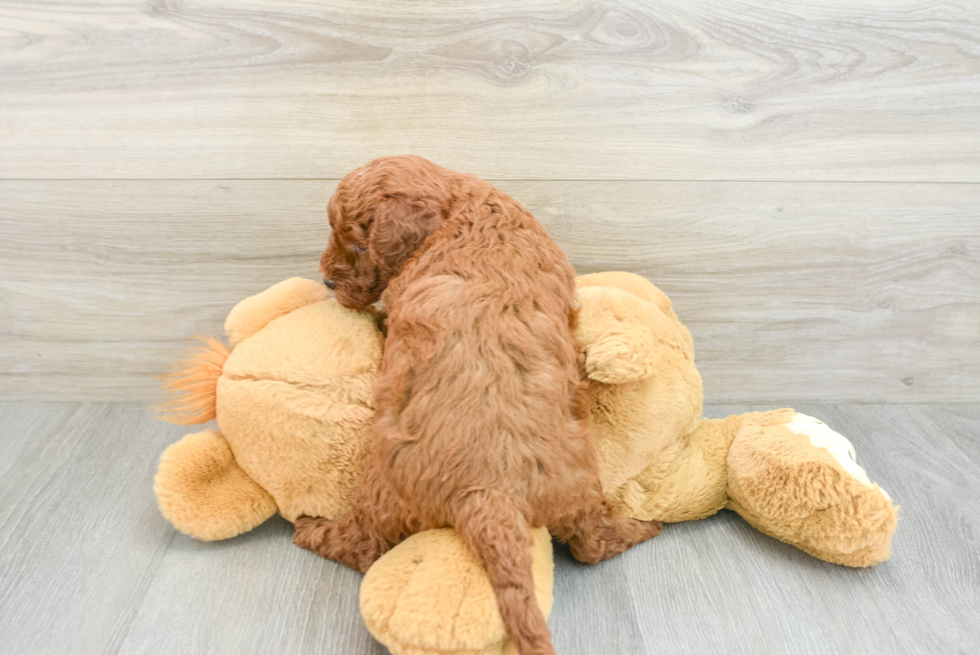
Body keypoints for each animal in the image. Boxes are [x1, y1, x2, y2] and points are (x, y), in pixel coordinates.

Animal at [290, 155, 660, 655]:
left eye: (359, 245)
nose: (327, 280)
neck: (461, 207)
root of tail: (492, 493)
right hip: (581, 484)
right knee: (591, 544)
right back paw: (641, 527)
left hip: (381, 490)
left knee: (363, 547)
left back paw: (312, 528)